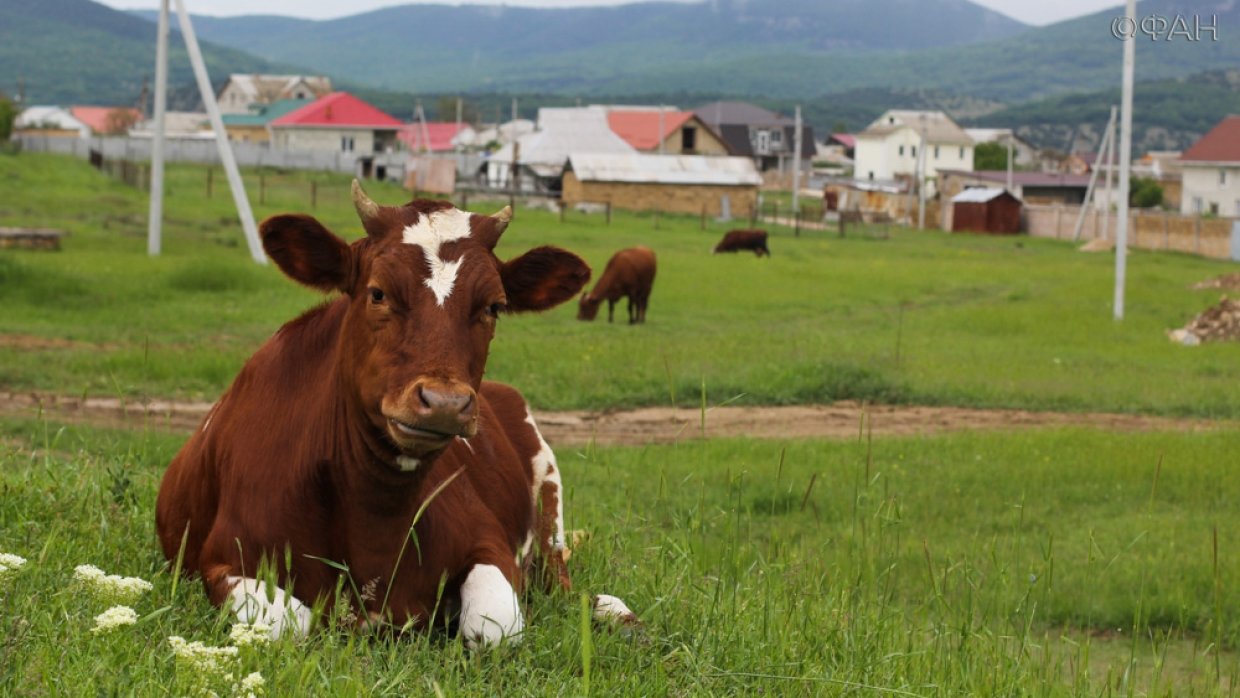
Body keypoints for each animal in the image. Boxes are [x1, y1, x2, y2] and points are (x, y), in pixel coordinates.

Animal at [155, 183, 634, 649]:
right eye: (378, 293)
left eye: (493, 306)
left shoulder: (489, 543)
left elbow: (498, 624)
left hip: (549, 496)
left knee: (562, 584)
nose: (445, 402)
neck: (376, 516)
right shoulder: (221, 559)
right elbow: (286, 624)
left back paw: (612, 611)